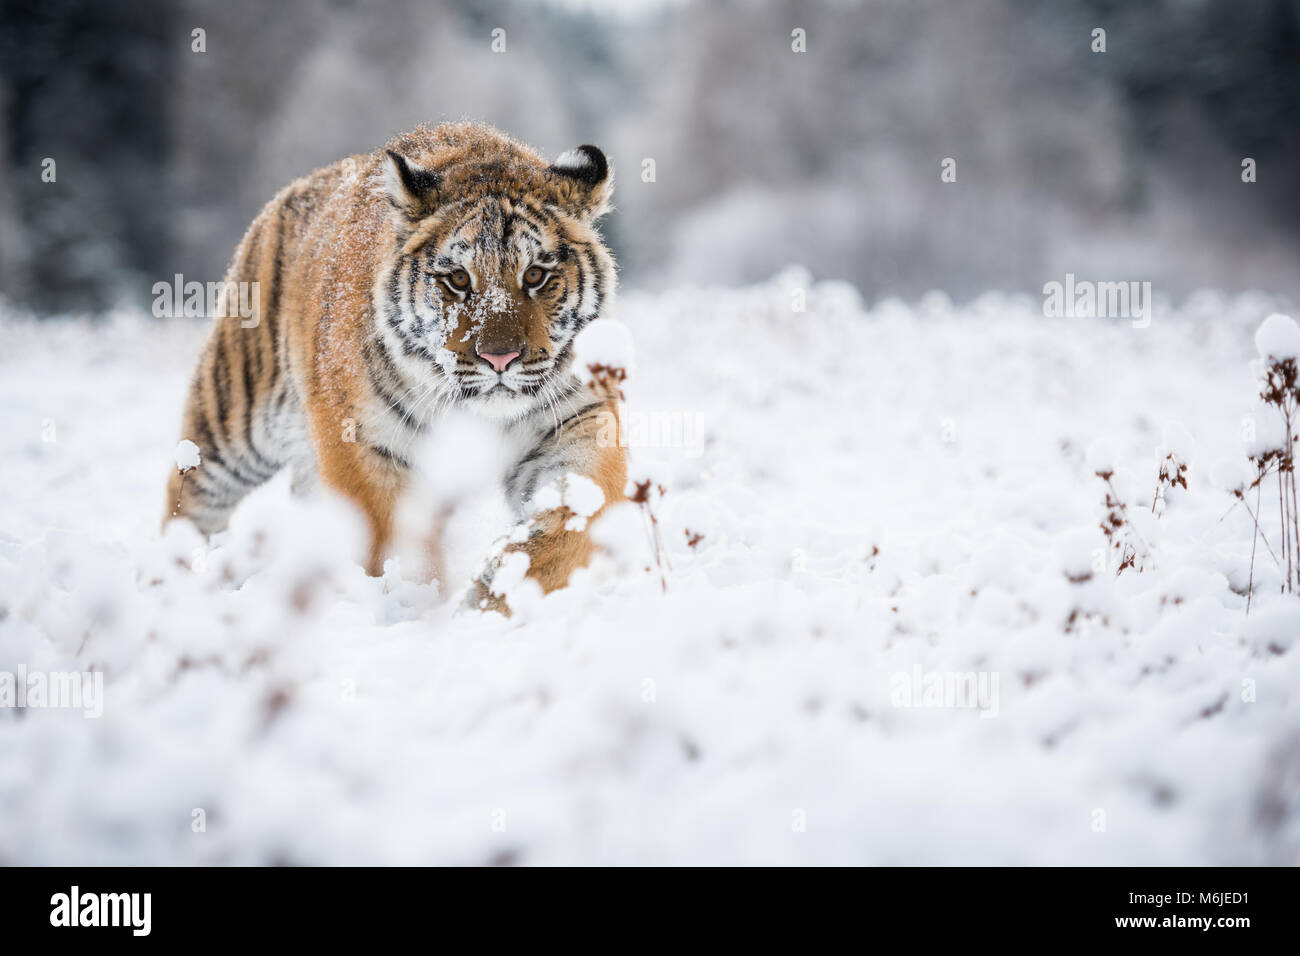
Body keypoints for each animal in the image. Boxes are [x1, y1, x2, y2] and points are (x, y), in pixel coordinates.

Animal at [159, 123, 626, 613]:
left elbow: (574, 520)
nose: (500, 358)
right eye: (458, 279)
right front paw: (414, 606)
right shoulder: (366, 446)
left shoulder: (577, 420)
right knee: (184, 502)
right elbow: (393, 548)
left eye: (535, 275)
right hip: (229, 431)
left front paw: (494, 591)